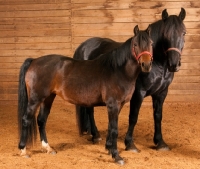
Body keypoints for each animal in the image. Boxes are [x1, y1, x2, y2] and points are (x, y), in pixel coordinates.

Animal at [18, 25, 152, 165]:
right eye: (135, 44)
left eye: (151, 43)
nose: (146, 65)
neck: (118, 70)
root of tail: (34, 61)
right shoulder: (113, 105)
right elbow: (114, 130)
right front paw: (116, 156)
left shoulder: (118, 106)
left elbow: (111, 127)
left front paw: (109, 149)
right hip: (35, 99)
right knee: (26, 119)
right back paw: (23, 150)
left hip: (48, 98)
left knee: (41, 120)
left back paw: (48, 148)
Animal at [74, 8, 187, 152]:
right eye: (165, 34)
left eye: (184, 33)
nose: (173, 64)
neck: (158, 65)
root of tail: (83, 47)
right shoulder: (138, 93)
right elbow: (133, 117)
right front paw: (130, 144)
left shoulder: (161, 93)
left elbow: (158, 116)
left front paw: (160, 142)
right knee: (90, 110)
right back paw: (96, 135)